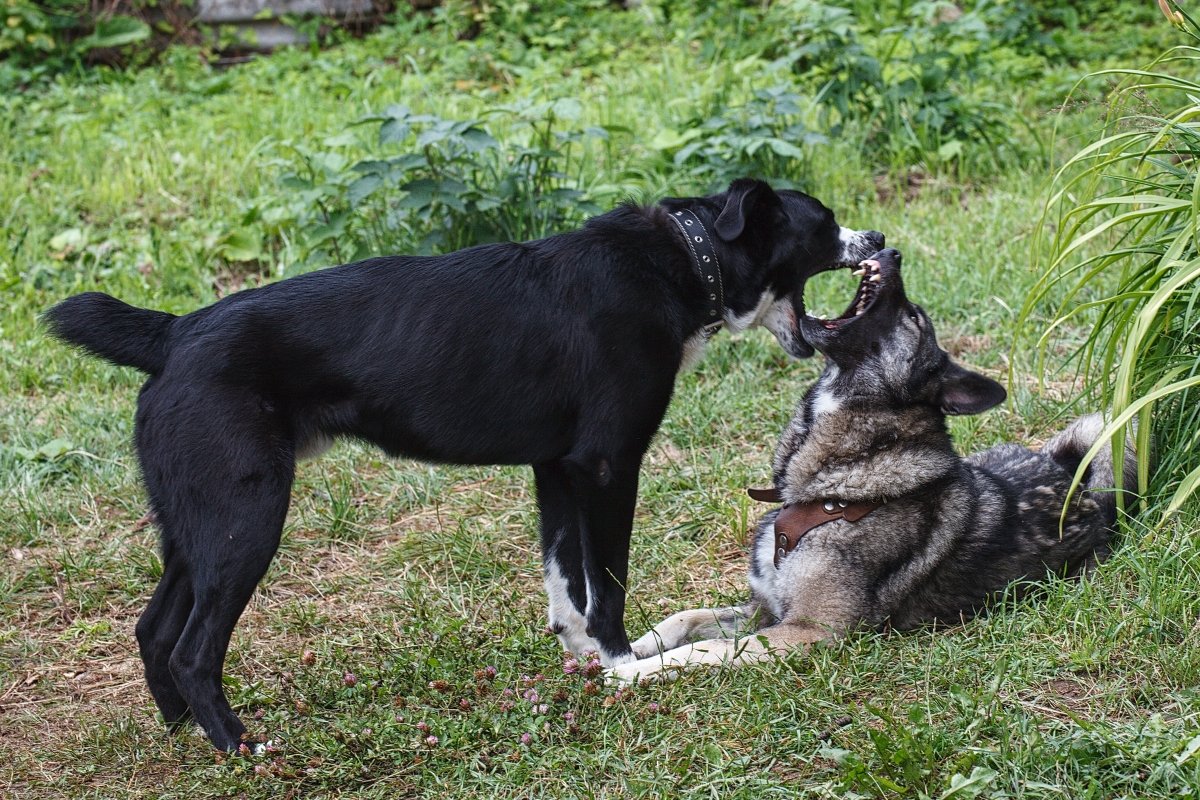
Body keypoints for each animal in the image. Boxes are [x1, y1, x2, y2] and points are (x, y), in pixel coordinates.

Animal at [44, 176, 883, 753]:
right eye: (824, 223)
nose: (878, 240)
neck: (683, 256)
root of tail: (175, 332)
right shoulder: (608, 467)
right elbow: (607, 587)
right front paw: (625, 668)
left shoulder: (555, 470)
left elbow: (564, 587)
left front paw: (582, 661)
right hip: (244, 520)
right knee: (191, 650)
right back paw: (239, 747)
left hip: (197, 525)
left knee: (154, 631)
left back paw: (184, 734)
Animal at [609, 245, 1132, 681]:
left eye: (913, 316)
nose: (893, 252)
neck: (833, 486)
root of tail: (1072, 478)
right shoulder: (763, 610)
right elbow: (684, 618)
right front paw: (628, 650)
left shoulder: (806, 632)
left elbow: (703, 650)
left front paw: (632, 671)